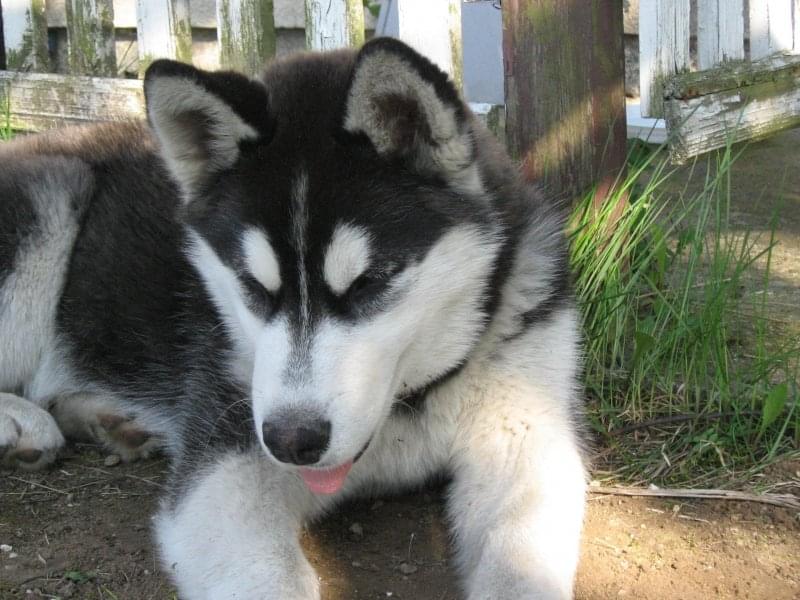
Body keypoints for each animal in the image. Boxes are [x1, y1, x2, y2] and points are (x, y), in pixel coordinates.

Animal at [0, 38, 586, 599]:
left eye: (368, 283)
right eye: (253, 286)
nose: (291, 441)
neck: (407, 406)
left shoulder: (527, 429)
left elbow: (521, 561)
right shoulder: (221, 465)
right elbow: (271, 575)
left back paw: (107, 420)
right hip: (49, 205)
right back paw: (22, 423)